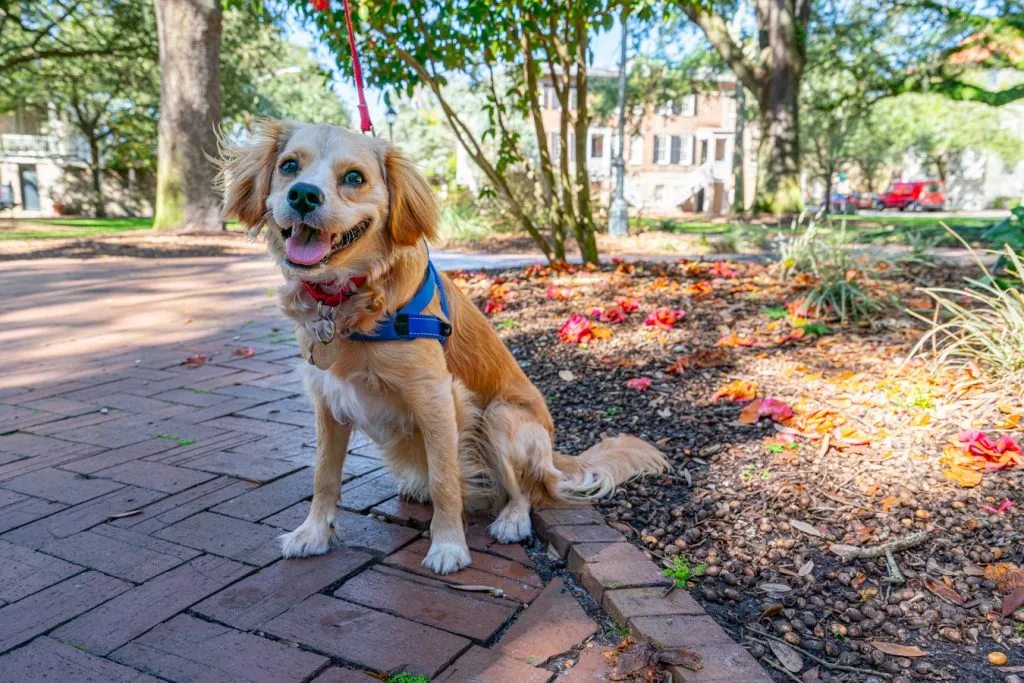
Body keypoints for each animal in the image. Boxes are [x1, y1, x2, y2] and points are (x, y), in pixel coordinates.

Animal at [219, 120, 667, 573]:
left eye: (354, 178)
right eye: (289, 166)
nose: (303, 195)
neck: (353, 301)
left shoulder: (437, 397)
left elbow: (445, 477)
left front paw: (449, 544)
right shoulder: (327, 401)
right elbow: (323, 475)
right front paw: (313, 533)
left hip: (500, 418)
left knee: (529, 490)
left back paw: (511, 519)